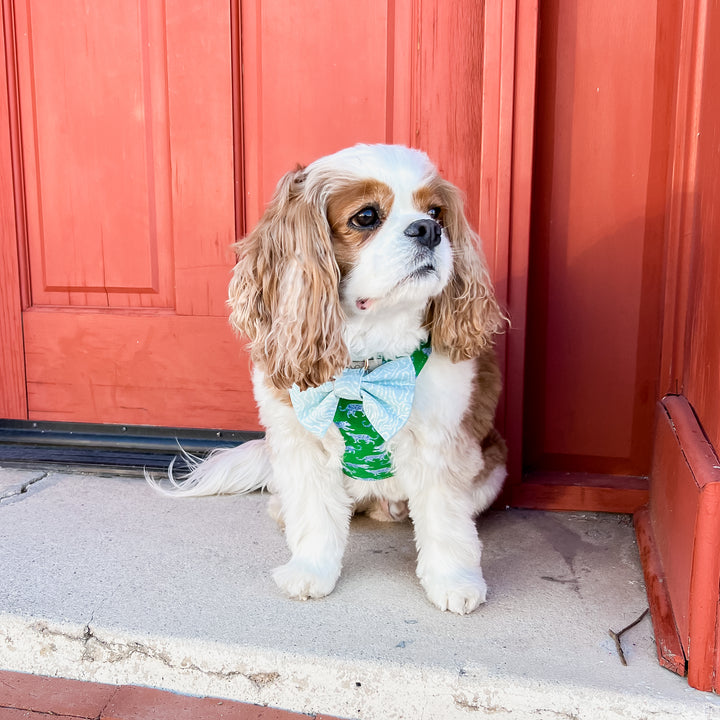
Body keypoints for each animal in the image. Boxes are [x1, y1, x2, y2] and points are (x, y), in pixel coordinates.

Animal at [150, 145, 506, 612]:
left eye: (436, 212)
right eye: (366, 216)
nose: (428, 229)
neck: (366, 368)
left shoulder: (442, 445)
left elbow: (445, 522)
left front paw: (454, 582)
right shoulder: (301, 445)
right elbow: (316, 516)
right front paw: (310, 571)